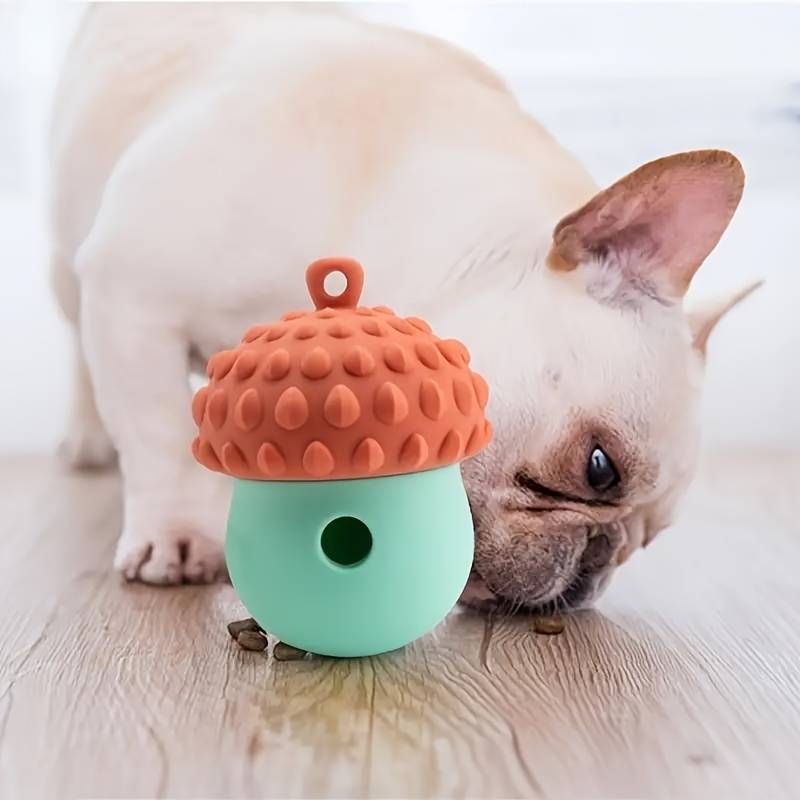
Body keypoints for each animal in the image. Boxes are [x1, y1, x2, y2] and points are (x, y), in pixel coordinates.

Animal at [51, 6, 756, 608]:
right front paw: (174, 533)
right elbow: (158, 434)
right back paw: (88, 437)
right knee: (82, 353)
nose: (595, 567)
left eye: (645, 543)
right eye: (599, 469)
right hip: (70, 265)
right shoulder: (133, 292)